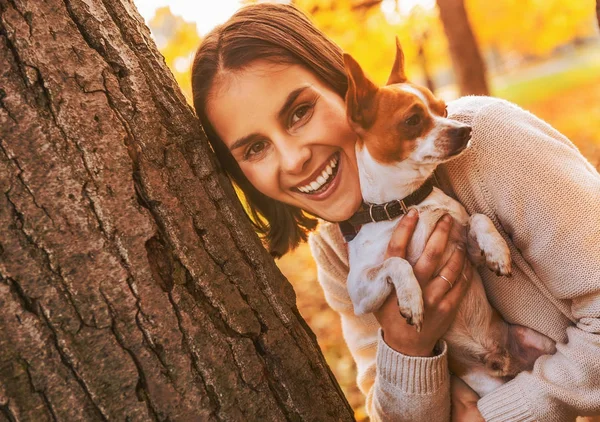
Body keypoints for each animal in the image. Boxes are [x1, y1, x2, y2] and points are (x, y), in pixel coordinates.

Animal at [340, 38, 556, 396]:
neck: (407, 203)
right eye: (413, 120)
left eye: (442, 110)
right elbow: (396, 261)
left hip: (544, 342)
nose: (464, 130)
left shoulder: (465, 253)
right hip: (484, 382)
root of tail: (502, 361)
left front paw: (498, 252)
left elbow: (479, 219)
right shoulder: (361, 294)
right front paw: (412, 300)